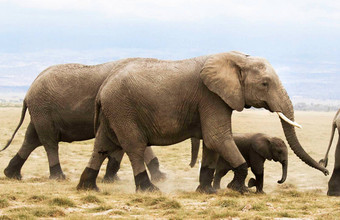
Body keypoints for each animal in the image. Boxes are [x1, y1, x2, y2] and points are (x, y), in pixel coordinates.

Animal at [1, 57, 166, 181]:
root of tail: (28, 92)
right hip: (43, 110)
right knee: (49, 142)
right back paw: (58, 177)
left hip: (41, 112)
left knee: (31, 138)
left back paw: (12, 174)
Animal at [77, 51, 330, 192]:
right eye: (265, 84)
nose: (326, 170)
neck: (237, 58)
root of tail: (103, 87)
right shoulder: (210, 97)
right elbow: (217, 138)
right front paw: (240, 189)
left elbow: (211, 143)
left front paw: (207, 191)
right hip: (123, 109)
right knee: (134, 147)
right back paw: (149, 190)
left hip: (114, 111)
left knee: (102, 145)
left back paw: (88, 188)